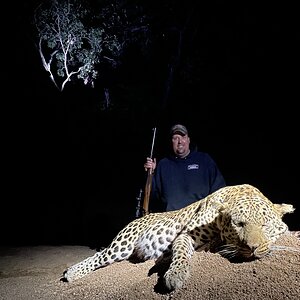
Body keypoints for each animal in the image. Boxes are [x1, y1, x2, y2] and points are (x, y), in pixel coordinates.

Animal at [62, 183, 294, 290]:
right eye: (239, 224)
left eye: (265, 225)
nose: (252, 247)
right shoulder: (185, 235)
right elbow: (181, 253)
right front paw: (175, 275)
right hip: (122, 245)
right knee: (99, 256)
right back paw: (71, 273)